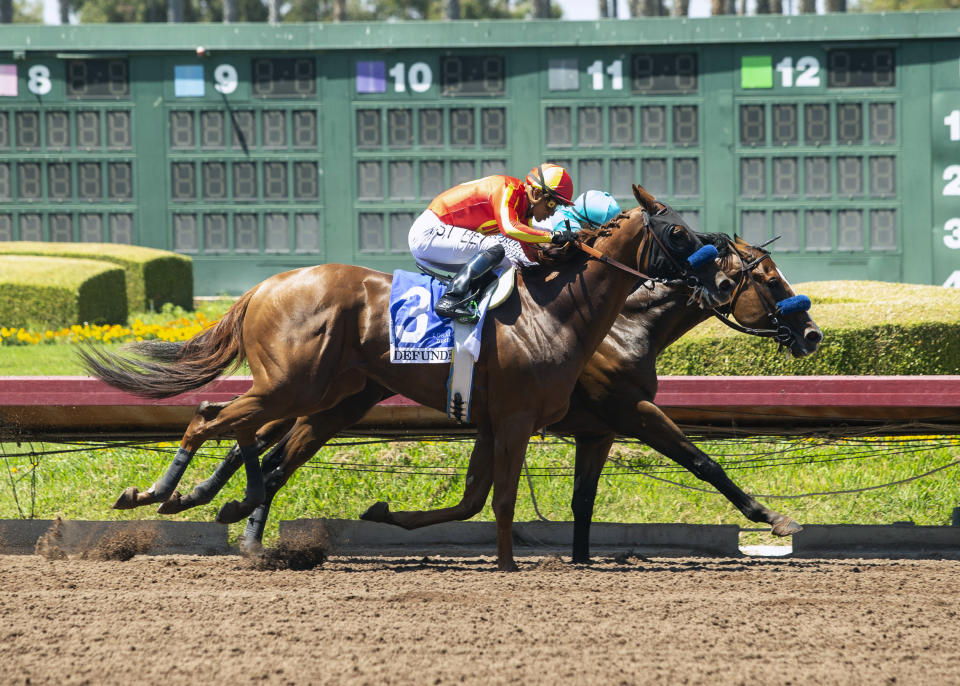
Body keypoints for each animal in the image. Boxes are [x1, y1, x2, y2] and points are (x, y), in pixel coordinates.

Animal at [80, 185, 736, 572]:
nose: (721, 278)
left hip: (319, 393)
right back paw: (159, 494)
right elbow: (499, 500)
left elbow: (475, 500)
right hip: (294, 385)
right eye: (677, 232)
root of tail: (266, 285)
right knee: (211, 419)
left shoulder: (493, 421)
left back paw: (226, 510)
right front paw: (508, 568)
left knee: (252, 436)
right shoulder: (518, 419)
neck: (555, 311)